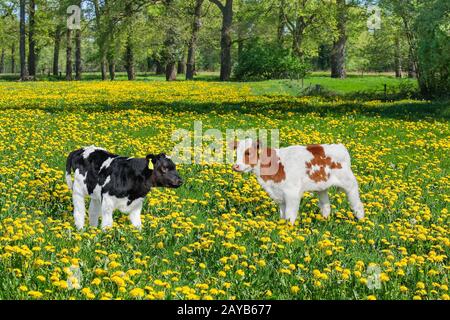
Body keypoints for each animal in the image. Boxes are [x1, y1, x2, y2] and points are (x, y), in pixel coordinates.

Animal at [230, 139, 364, 225]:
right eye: (236, 152)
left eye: (248, 152)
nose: (236, 166)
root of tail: (339, 146)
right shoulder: (280, 195)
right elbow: (283, 216)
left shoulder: (292, 193)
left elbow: (290, 215)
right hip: (321, 186)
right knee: (326, 207)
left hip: (349, 183)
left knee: (357, 205)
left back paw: (361, 222)